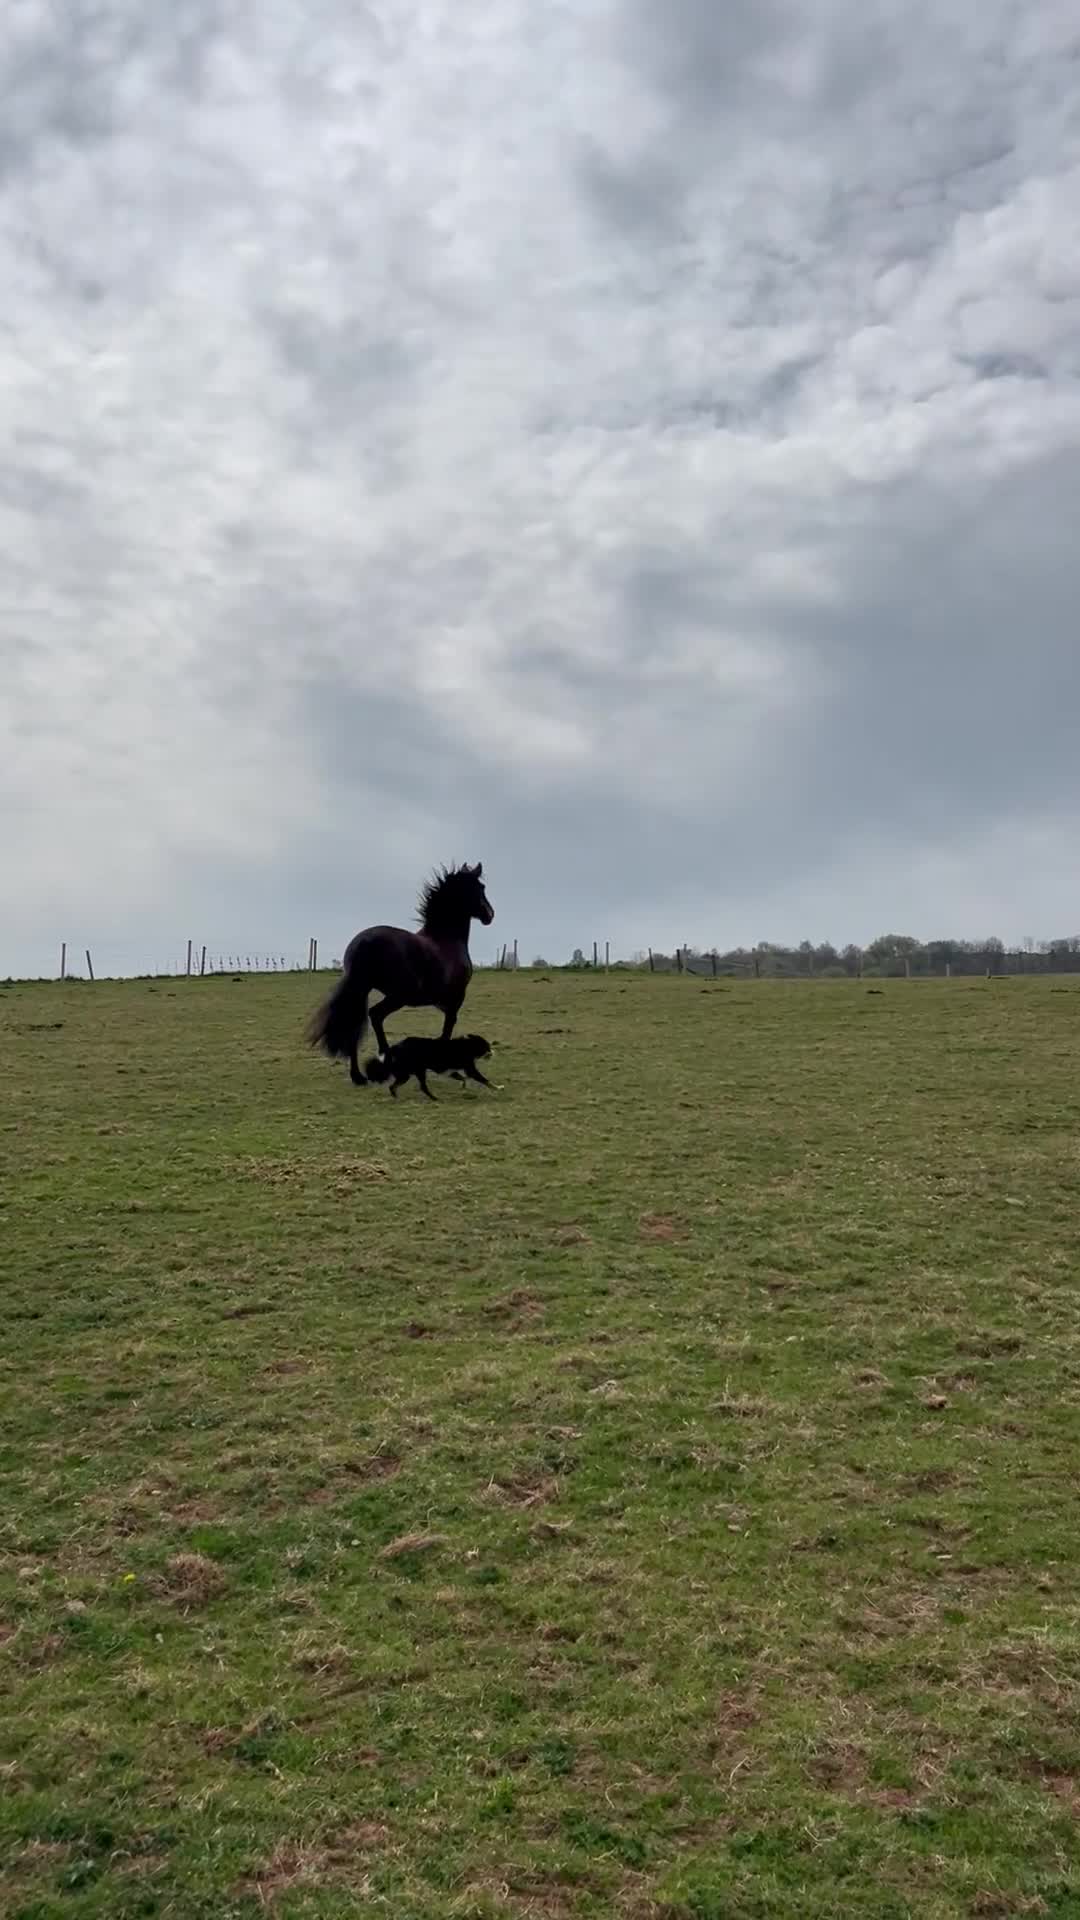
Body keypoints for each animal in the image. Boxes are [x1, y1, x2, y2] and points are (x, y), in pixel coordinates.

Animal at [307, 862, 494, 1086]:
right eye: (481, 888)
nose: (490, 915)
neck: (446, 941)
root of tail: (363, 942)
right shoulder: (455, 999)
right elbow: (447, 1031)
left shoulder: (443, 1002)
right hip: (397, 996)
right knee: (375, 1015)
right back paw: (383, 1060)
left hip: (363, 991)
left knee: (355, 1025)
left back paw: (358, 1076)